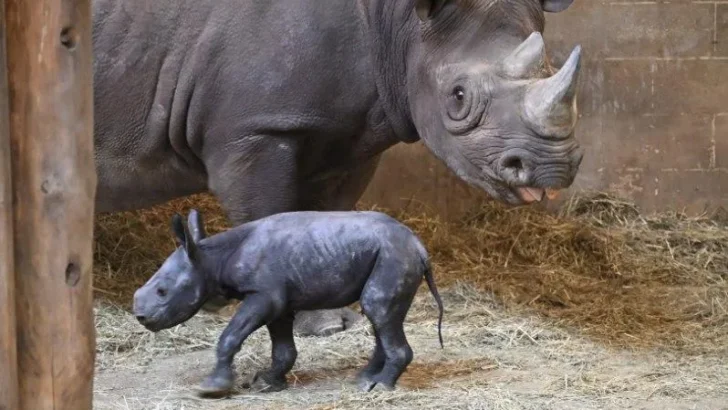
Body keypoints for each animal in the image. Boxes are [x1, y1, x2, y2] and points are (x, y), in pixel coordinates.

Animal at [93, 0, 583, 336]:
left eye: (553, 68)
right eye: (458, 97)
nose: (553, 170)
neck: (400, 24)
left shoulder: (348, 134)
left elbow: (329, 219)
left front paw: (327, 320)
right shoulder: (254, 129)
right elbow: (267, 214)